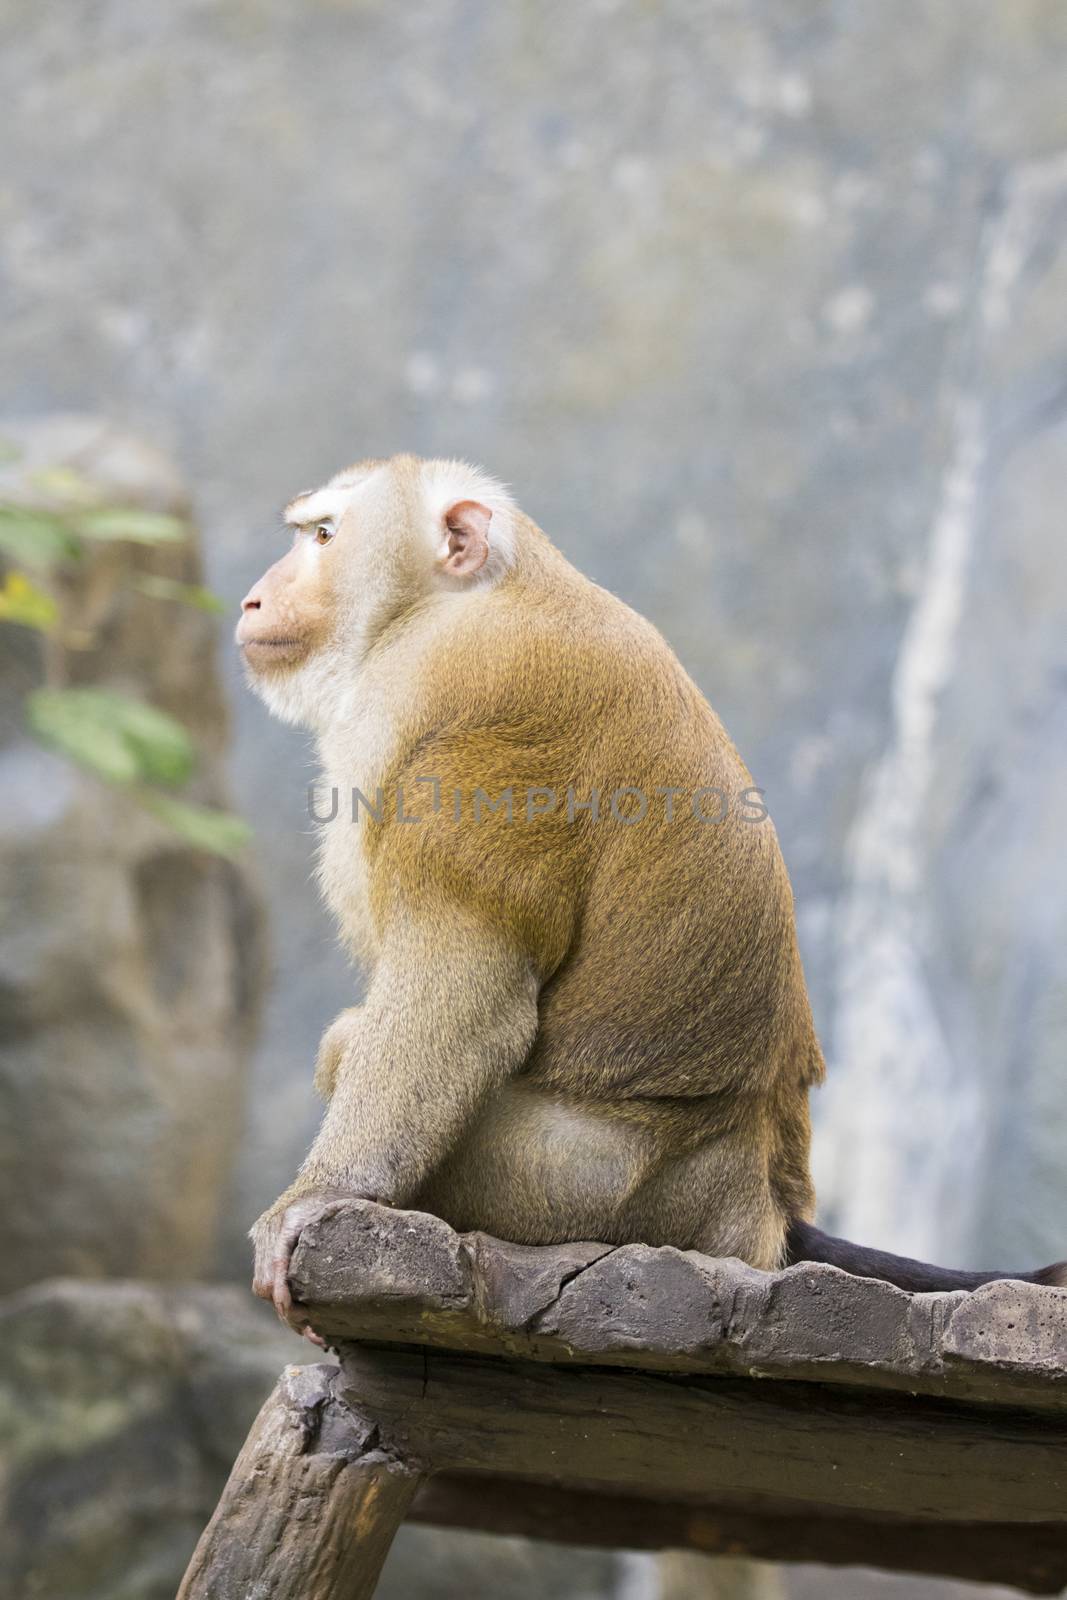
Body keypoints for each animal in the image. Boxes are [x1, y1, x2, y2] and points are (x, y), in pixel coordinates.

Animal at [238, 451, 1062, 1337]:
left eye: (324, 536)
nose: (253, 597)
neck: (471, 594)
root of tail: (757, 1205)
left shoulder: (463, 737)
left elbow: (463, 994)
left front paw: (320, 1198)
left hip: (579, 1184)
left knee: (356, 1043)